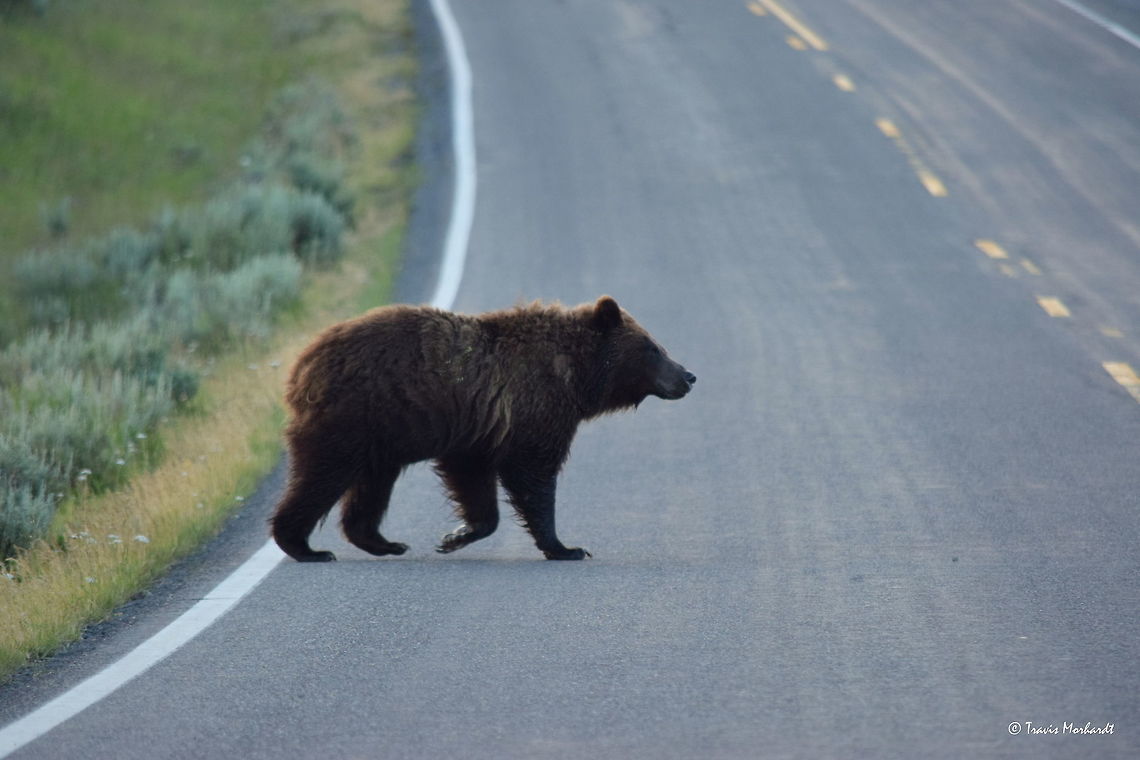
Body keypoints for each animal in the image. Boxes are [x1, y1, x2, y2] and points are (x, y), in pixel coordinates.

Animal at [269, 296, 695, 562]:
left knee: (372, 484)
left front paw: (456, 536)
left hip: (382, 436)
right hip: (353, 418)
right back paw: (305, 546)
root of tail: (303, 364)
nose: (688, 376)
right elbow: (534, 475)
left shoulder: (475, 432)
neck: (575, 376)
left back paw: (384, 542)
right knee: (322, 474)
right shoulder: (533, 410)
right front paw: (566, 547)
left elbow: (472, 479)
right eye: (653, 347)